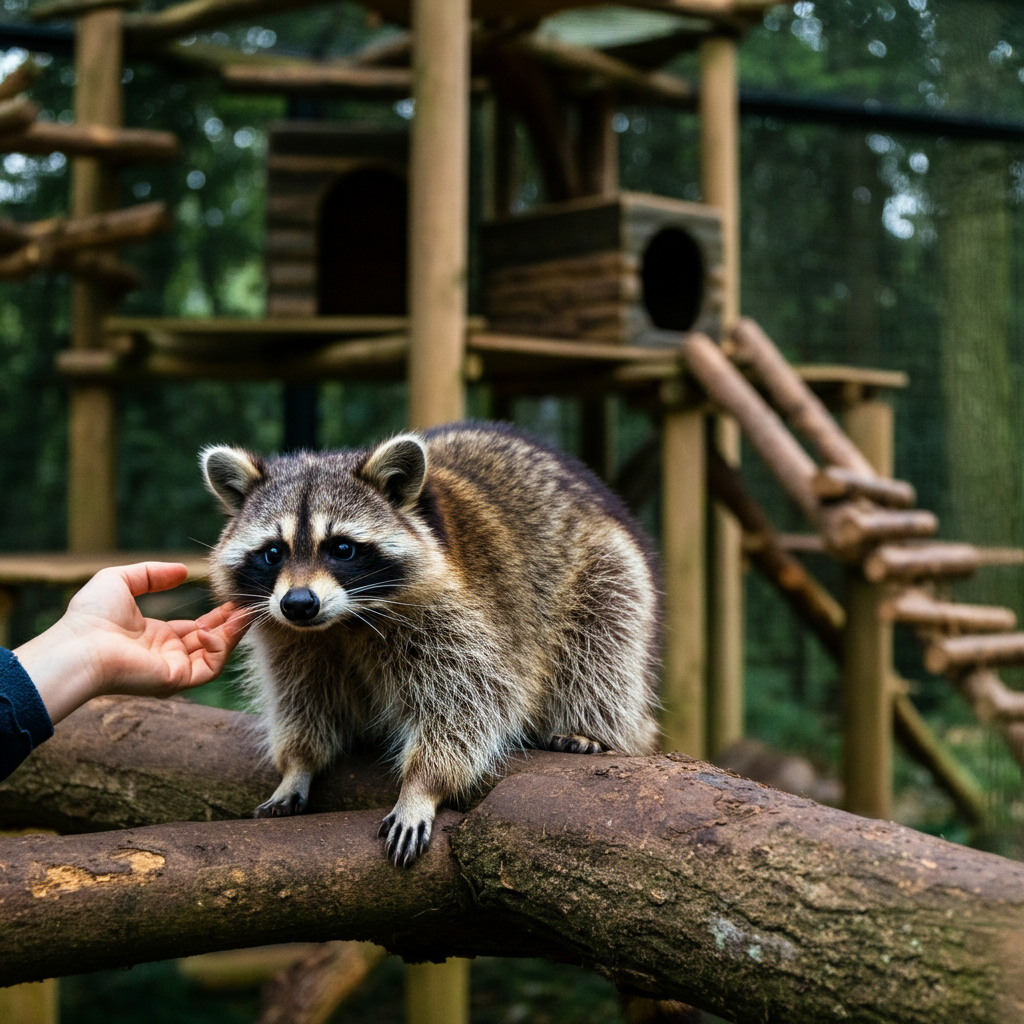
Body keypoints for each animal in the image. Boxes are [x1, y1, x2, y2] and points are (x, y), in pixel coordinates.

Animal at [202, 422, 661, 866]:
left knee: (603, 640)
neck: (341, 624)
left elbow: (469, 703)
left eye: (342, 548)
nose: (298, 604)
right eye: (273, 553)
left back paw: (592, 725)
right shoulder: (292, 640)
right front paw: (297, 765)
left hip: (606, 568)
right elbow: (301, 700)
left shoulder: (457, 618)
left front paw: (422, 785)